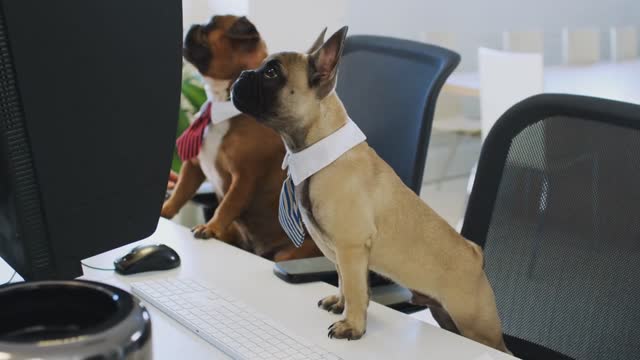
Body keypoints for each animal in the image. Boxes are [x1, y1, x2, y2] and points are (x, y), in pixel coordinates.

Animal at [160, 14, 320, 262]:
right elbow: (180, 192)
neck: (222, 104)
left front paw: (211, 227)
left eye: (209, 28)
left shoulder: (244, 178)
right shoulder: (193, 167)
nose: (194, 24)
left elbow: (227, 205)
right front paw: (166, 210)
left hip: (287, 255)